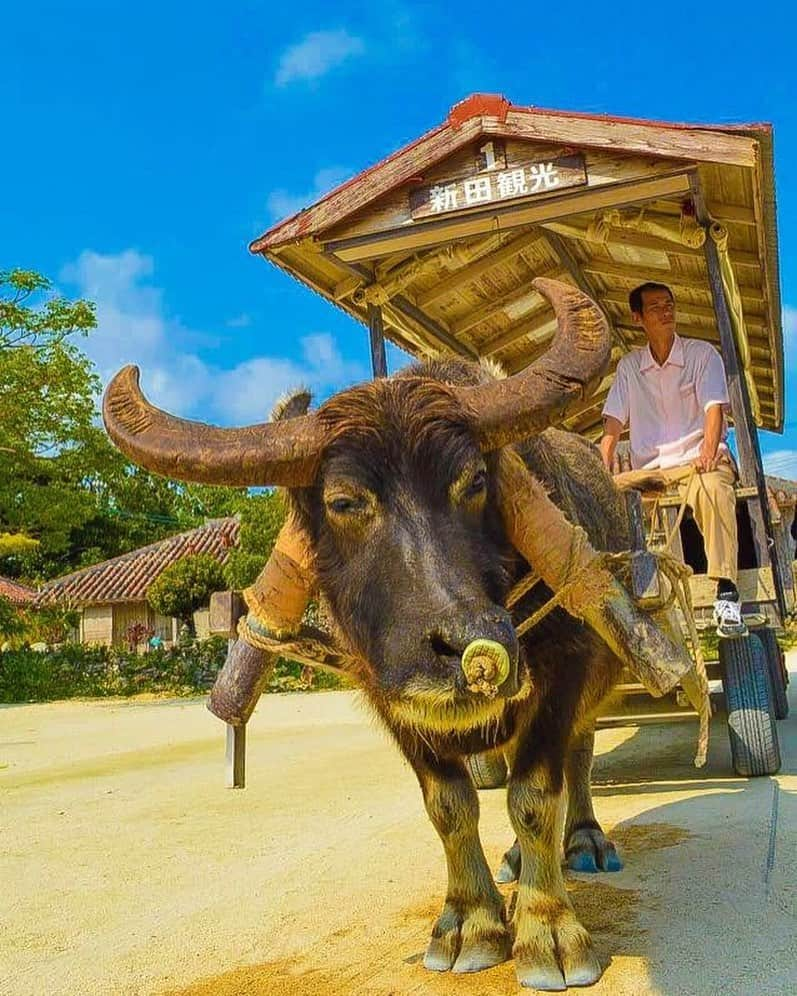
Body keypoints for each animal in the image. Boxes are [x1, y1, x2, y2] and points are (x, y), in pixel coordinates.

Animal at [102, 280, 632, 988]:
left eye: (475, 482)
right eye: (344, 502)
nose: (467, 650)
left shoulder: (566, 664)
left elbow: (533, 794)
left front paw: (549, 930)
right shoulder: (391, 694)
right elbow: (449, 804)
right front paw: (470, 922)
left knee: (578, 755)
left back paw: (584, 841)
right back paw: (520, 861)